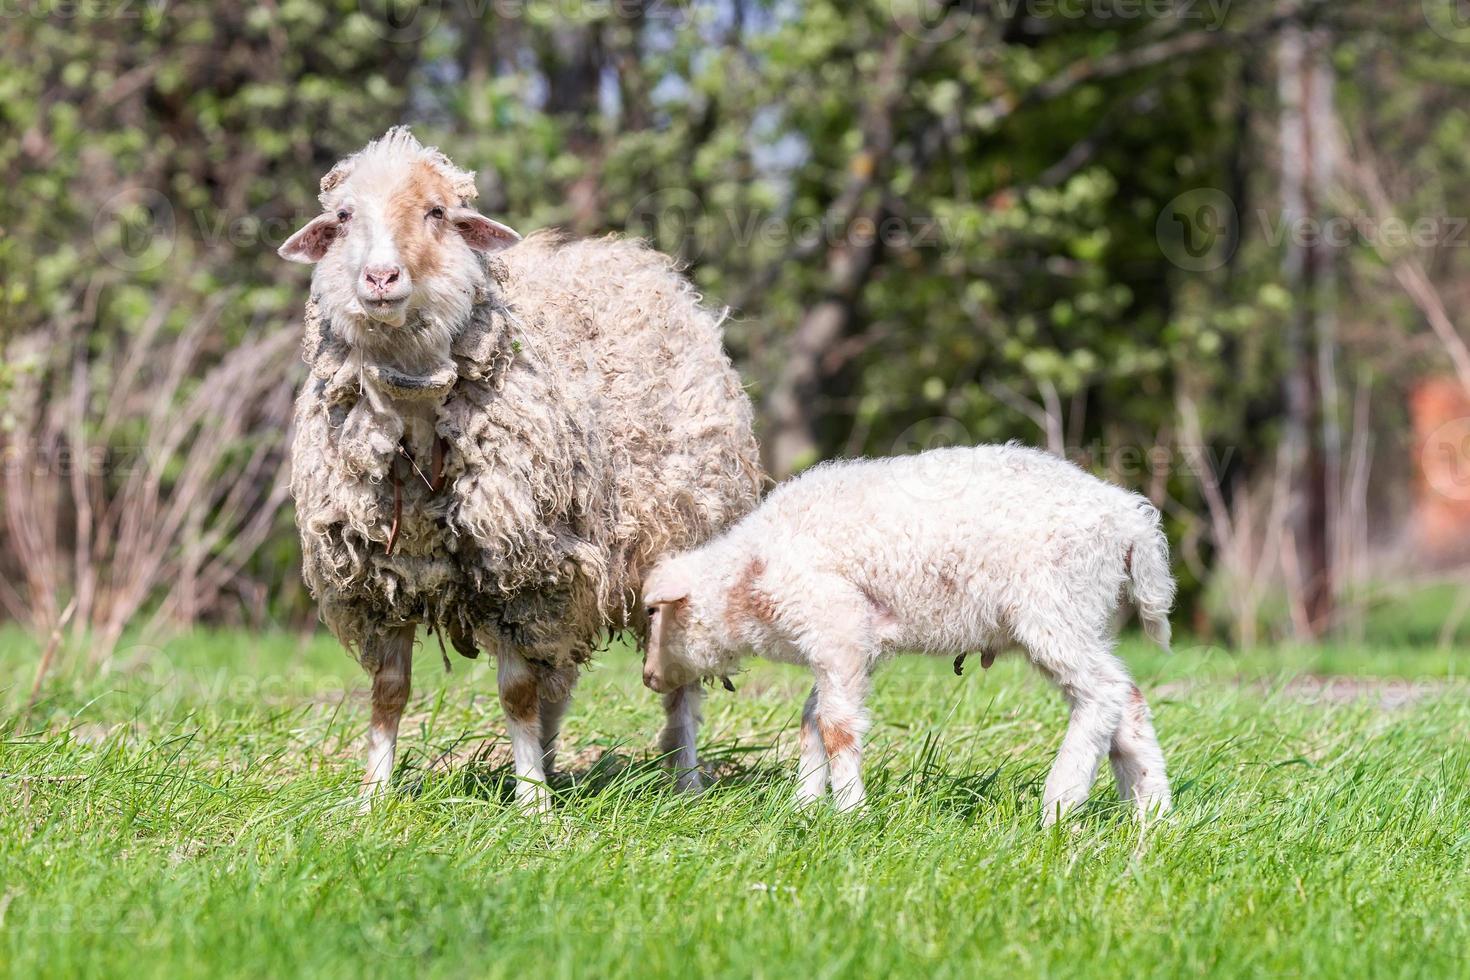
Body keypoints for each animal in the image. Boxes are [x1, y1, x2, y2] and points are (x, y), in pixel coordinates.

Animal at [276, 126, 764, 811]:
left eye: (437, 212)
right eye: (343, 217)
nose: (380, 275)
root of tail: (634, 259)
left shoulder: (519, 574)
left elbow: (515, 693)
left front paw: (533, 803)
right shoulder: (380, 584)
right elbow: (389, 694)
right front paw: (374, 796)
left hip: (673, 547)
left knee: (677, 684)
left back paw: (685, 781)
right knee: (558, 679)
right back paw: (555, 761)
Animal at [643, 449, 1170, 822]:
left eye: (654, 614)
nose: (648, 677)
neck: (750, 577)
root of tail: (1130, 520)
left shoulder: (835, 624)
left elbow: (835, 726)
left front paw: (850, 813)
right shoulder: (851, 644)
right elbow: (812, 721)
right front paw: (804, 806)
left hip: (1053, 607)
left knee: (1102, 692)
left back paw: (1061, 804)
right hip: (1083, 614)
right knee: (1128, 698)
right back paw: (1153, 814)